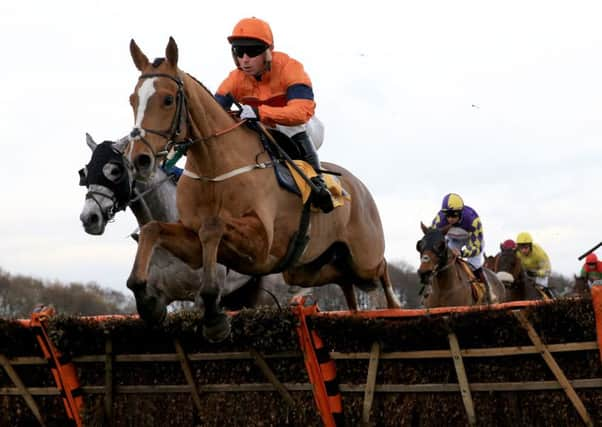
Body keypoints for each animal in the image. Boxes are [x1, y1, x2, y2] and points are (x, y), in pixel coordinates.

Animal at [124, 38, 400, 342]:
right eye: (132, 99)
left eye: (168, 99)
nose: (139, 159)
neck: (214, 168)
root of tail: (359, 187)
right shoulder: (193, 245)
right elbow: (154, 229)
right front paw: (148, 302)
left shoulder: (260, 244)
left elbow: (213, 227)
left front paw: (214, 316)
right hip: (306, 268)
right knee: (342, 277)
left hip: (365, 258)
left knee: (382, 269)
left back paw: (395, 307)